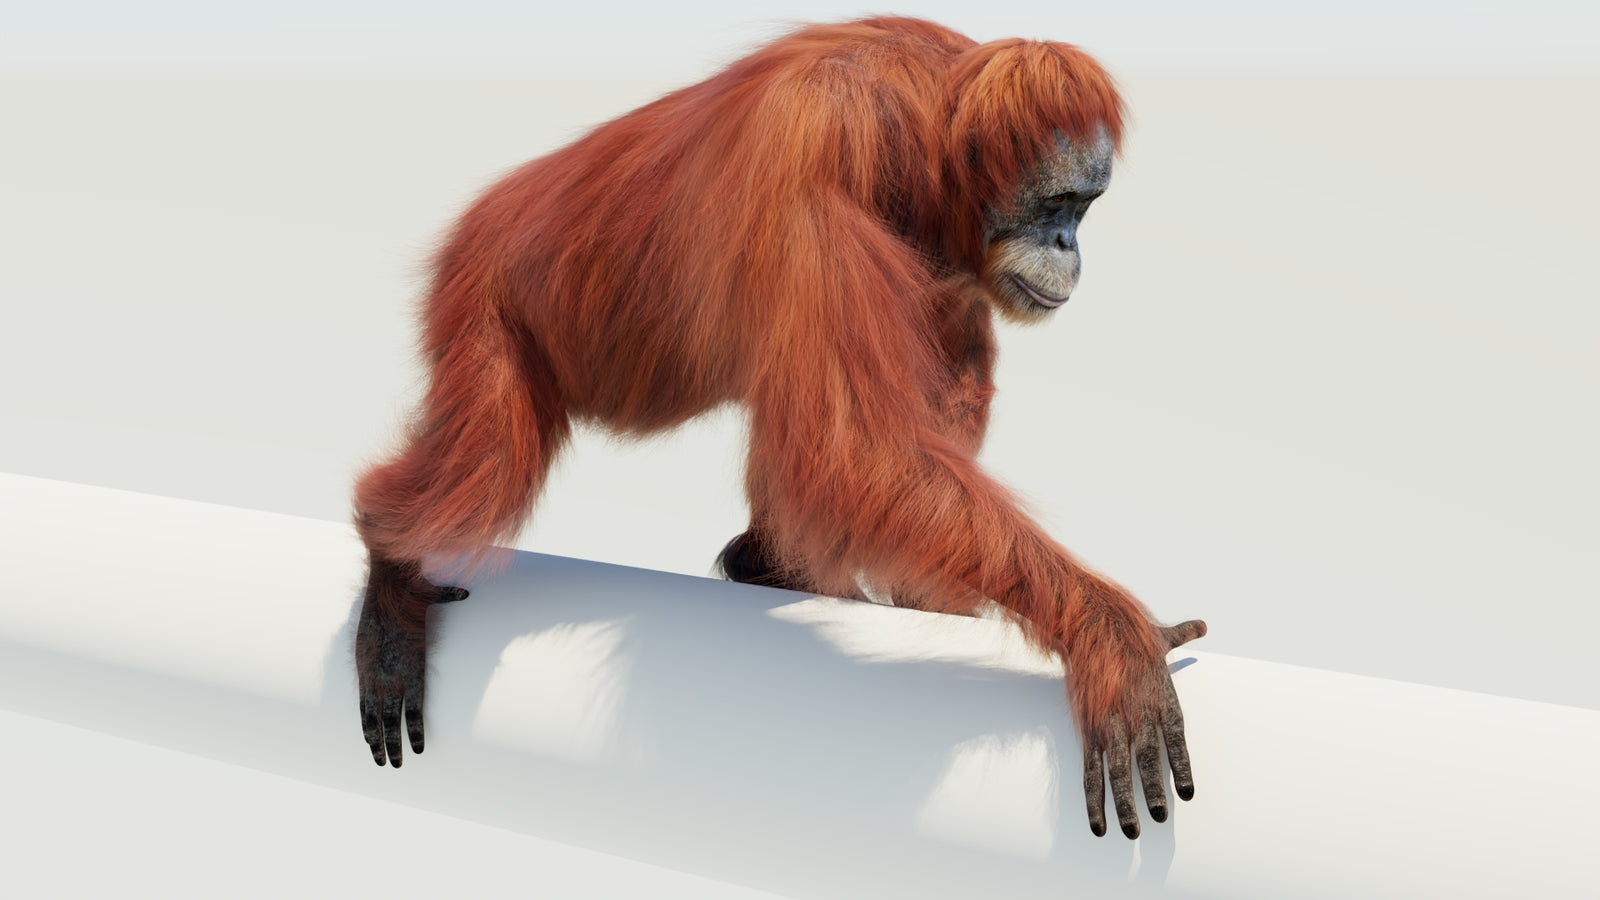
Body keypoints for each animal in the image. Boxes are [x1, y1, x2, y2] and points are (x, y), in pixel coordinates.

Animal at [352, 16, 1205, 840]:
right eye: (1058, 204)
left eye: (1084, 208)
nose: (1069, 245)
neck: (925, 127)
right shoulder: (819, 150)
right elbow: (852, 450)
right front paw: (1110, 638)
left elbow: (916, 404)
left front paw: (932, 601)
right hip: (482, 295)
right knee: (488, 465)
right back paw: (393, 570)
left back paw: (766, 564)